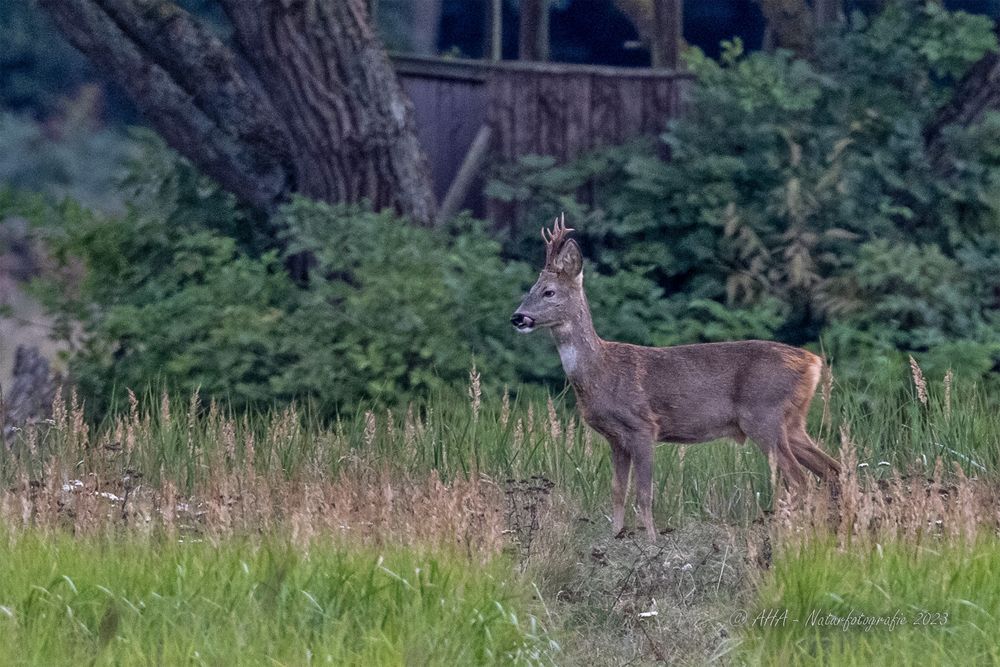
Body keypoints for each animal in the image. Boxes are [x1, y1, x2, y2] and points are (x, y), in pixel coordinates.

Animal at [512, 217, 840, 540]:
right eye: (530, 289)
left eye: (549, 291)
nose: (517, 317)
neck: (600, 372)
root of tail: (813, 362)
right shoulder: (615, 437)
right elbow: (618, 492)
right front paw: (616, 536)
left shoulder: (642, 426)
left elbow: (644, 493)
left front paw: (651, 542)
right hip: (792, 423)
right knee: (832, 469)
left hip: (763, 416)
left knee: (800, 480)